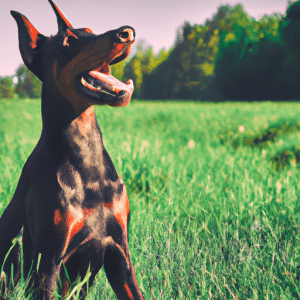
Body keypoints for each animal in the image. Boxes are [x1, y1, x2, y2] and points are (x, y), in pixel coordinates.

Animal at [0, 1, 145, 298]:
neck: (85, 154)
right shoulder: (49, 260)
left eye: (90, 31)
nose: (127, 32)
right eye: (69, 41)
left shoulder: (120, 252)